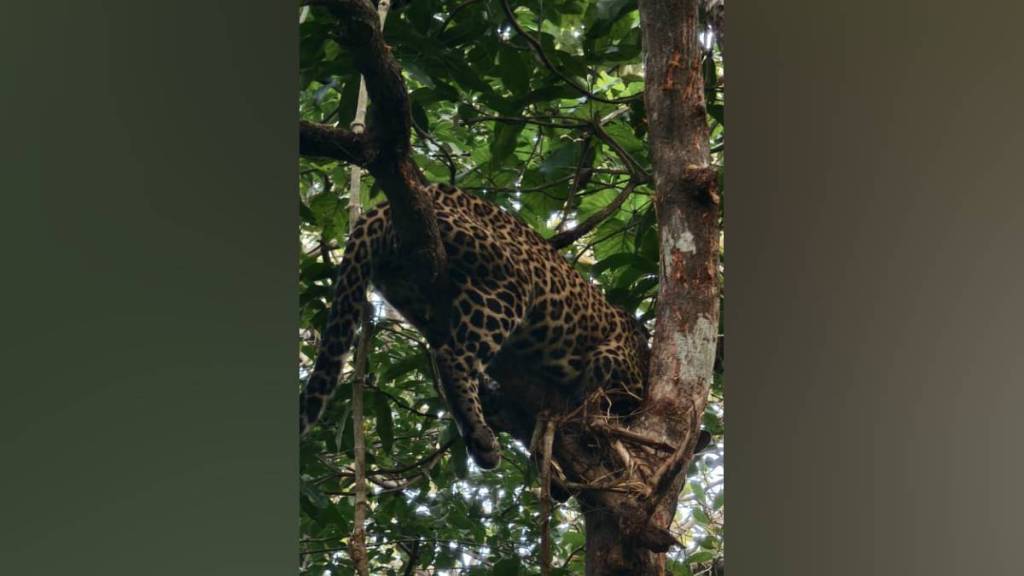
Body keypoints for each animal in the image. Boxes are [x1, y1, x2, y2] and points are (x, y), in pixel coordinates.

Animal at [299, 181, 651, 469]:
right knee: (452, 357)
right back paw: (479, 432)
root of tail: (382, 207)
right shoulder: (612, 361)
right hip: (509, 282)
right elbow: (598, 401)